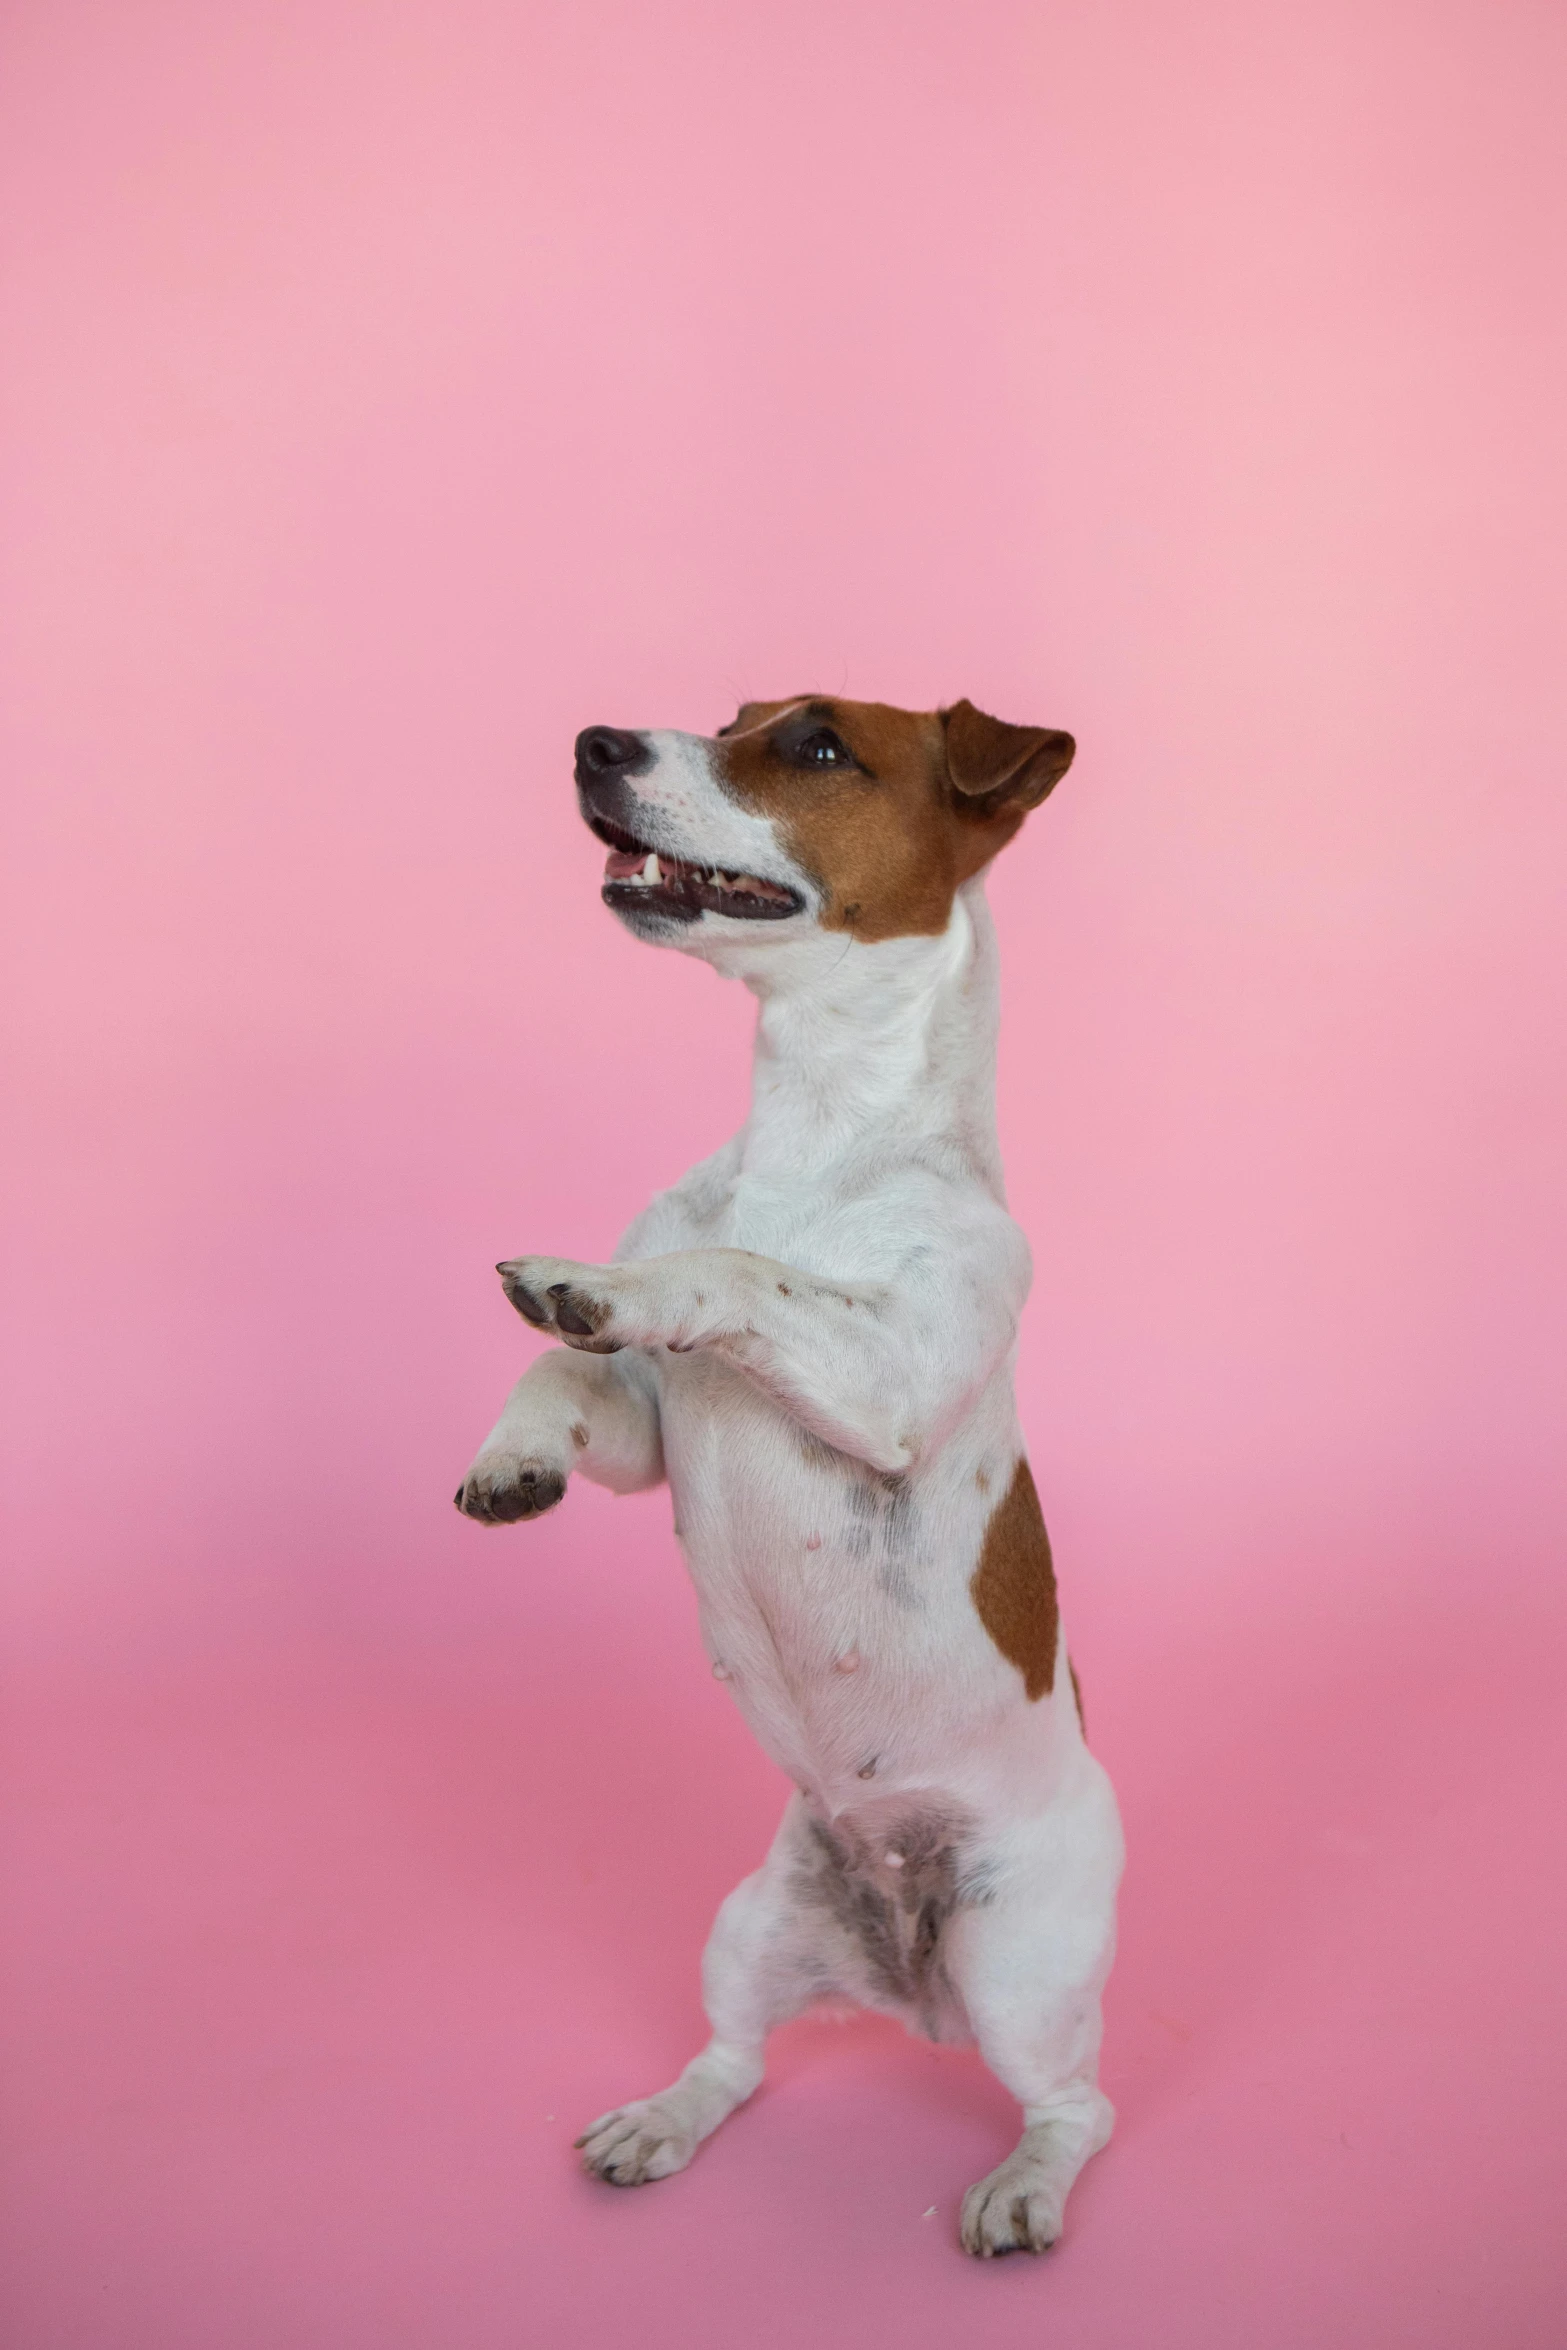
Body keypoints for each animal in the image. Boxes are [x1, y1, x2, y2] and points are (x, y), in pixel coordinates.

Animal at [453, 695, 1127, 2256]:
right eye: (731, 718)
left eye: (816, 745)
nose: (594, 739)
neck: (814, 1139)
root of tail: (912, 1990)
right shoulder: (645, 1421)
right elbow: (569, 1379)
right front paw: (513, 1456)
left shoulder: (881, 1377)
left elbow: (730, 1272)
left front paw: (599, 1281)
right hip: (752, 1921)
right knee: (736, 2058)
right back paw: (661, 2118)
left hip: (1020, 1958)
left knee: (1079, 2103)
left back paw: (1021, 2186)